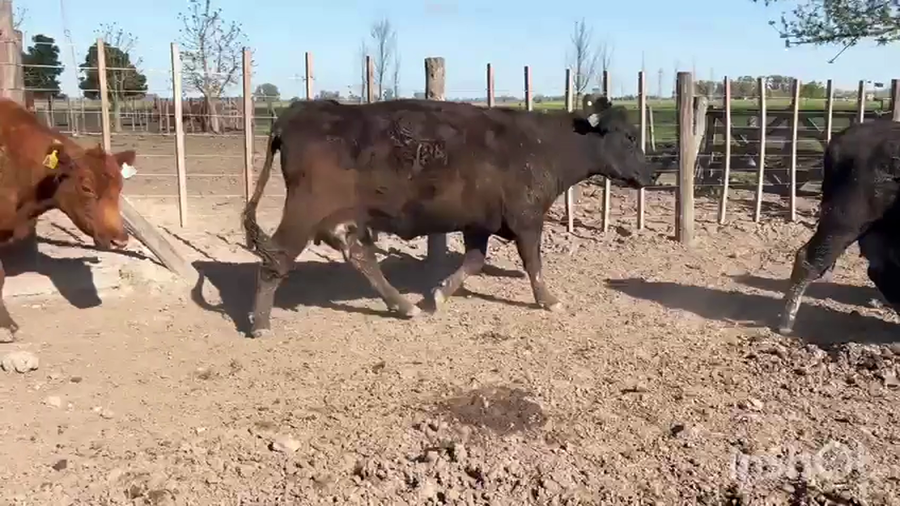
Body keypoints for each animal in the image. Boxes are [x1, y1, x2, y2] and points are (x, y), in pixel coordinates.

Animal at [241, 97, 652, 338]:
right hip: (305, 210)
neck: (540, 144)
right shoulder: (527, 218)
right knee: (276, 257)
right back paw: (260, 323)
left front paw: (436, 295)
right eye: (629, 137)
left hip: (343, 218)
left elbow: (473, 261)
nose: (650, 174)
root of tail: (299, 112)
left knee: (360, 256)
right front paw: (549, 300)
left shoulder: (479, 223)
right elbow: (533, 262)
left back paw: (404, 306)